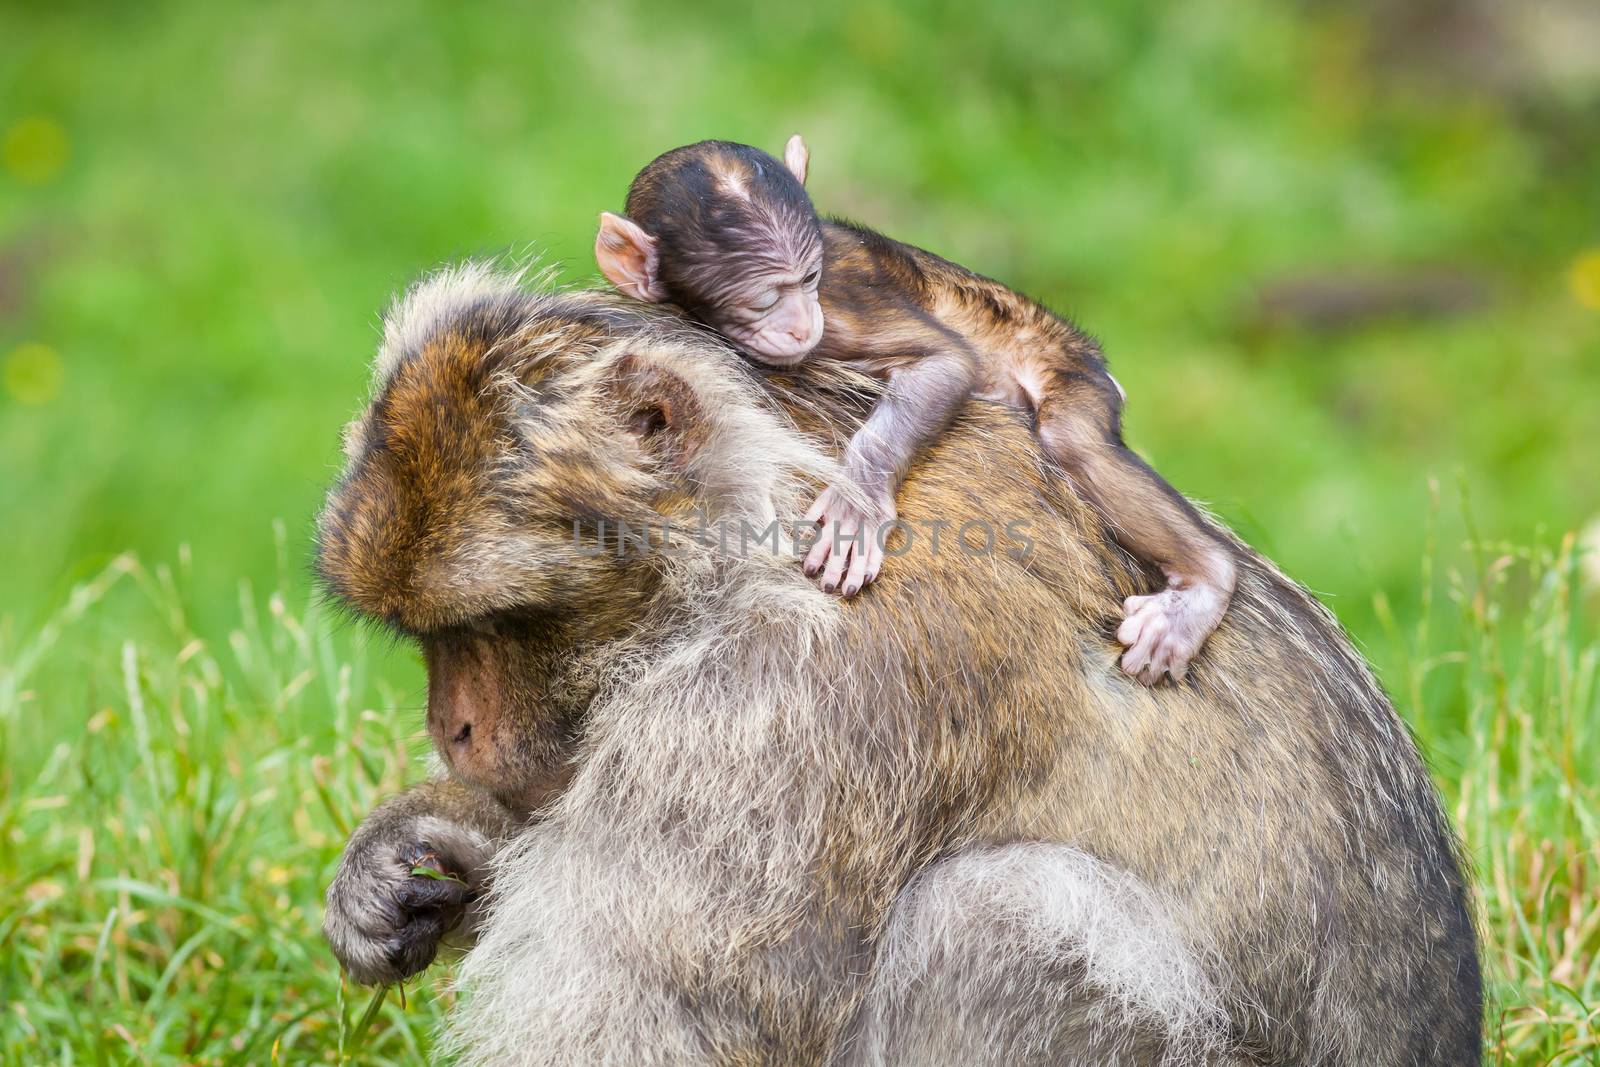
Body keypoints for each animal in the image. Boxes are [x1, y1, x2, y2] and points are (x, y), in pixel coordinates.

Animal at [318, 268, 1478, 1067]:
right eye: (427, 636)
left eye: (499, 621)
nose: (453, 727)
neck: (760, 535)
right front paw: (419, 846)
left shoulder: (776, 712)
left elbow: (650, 1027)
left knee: (996, 913)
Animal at [601, 137, 1235, 684]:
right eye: (761, 300)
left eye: (809, 277)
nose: (800, 326)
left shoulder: (843, 305)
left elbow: (947, 362)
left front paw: (858, 501)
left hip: (1064, 362)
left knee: (1074, 441)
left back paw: (1207, 580)